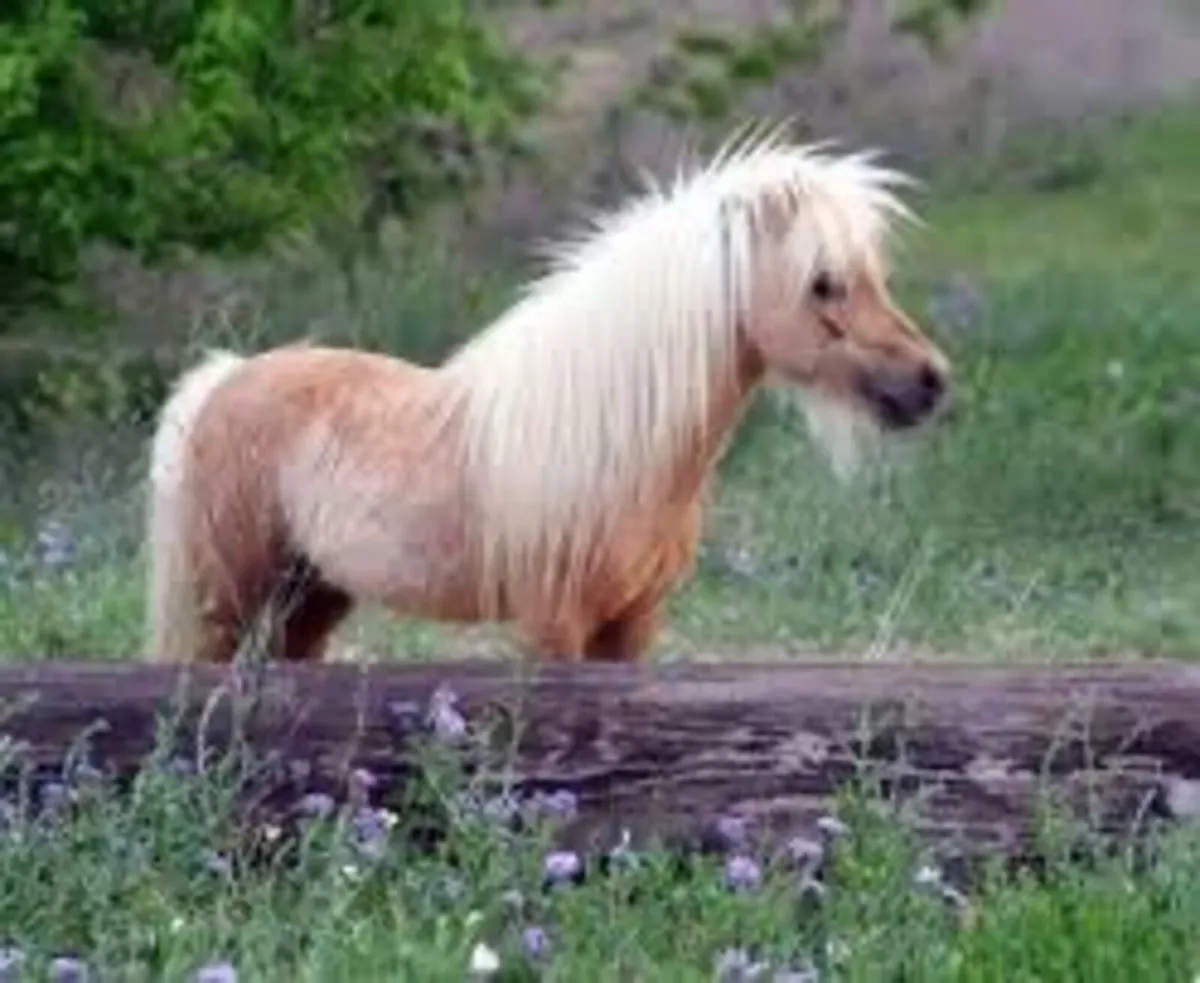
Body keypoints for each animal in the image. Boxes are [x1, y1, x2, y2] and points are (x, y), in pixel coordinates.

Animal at [143, 124, 952, 666]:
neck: (620, 439)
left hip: (312, 599)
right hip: (226, 601)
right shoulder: (553, 624)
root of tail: (224, 379)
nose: (930, 380)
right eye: (823, 283)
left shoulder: (631, 626)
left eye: (872, 277)